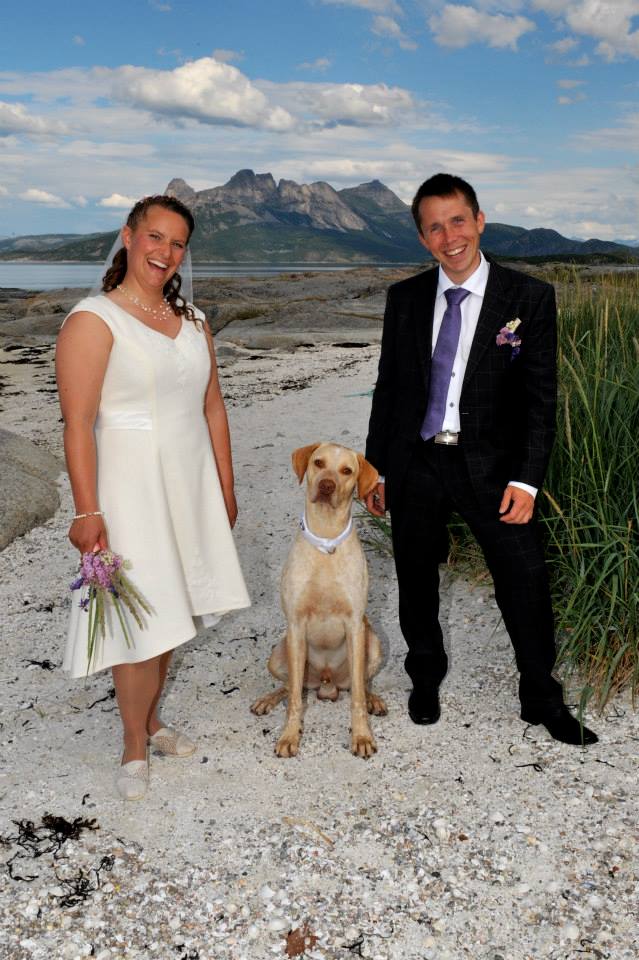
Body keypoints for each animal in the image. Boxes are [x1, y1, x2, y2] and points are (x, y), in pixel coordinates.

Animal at [251, 442, 387, 758]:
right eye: (318, 463)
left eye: (347, 470)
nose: (326, 485)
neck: (326, 541)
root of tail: (326, 684)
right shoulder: (296, 625)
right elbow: (294, 701)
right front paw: (289, 736)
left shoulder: (355, 626)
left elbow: (357, 697)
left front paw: (362, 735)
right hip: (279, 653)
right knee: (291, 687)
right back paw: (268, 699)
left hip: (372, 645)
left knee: (361, 684)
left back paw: (373, 699)